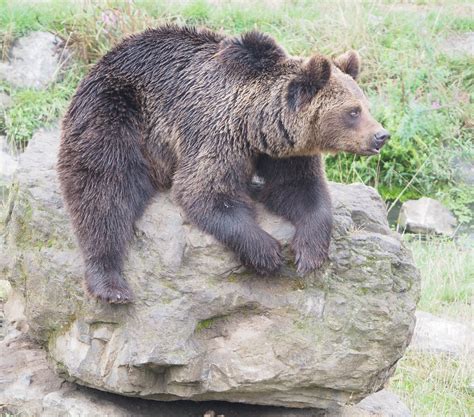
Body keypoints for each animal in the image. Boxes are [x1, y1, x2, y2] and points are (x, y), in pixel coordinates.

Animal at [57, 25, 388, 302]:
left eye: (366, 106)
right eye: (353, 111)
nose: (381, 135)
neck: (257, 126)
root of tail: (102, 60)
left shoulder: (285, 153)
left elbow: (300, 189)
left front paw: (309, 252)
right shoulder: (217, 132)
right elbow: (206, 193)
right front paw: (267, 252)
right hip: (116, 111)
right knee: (104, 187)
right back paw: (110, 283)